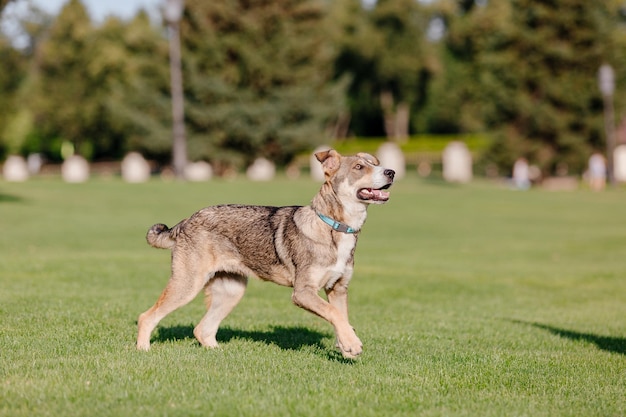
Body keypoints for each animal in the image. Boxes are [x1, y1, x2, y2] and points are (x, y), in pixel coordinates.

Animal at [136, 150, 392, 358]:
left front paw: (347, 347)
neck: (334, 227)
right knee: (147, 317)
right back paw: (143, 350)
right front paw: (353, 345)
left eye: (374, 163)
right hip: (187, 284)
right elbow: (334, 314)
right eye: (359, 167)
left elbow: (341, 318)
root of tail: (186, 221)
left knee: (202, 330)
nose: (391, 172)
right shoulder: (303, 292)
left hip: (231, 290)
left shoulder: (338, 288)